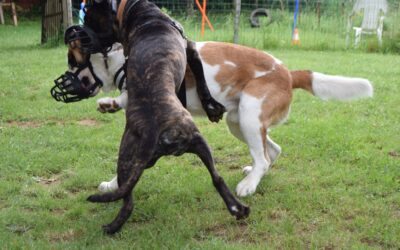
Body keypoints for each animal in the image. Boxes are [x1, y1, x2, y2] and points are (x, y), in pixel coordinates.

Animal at [68, 40, 372, 197]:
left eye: (72, 60)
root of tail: (288, 72)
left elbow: (130, 165)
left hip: (249, 116)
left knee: (264, 156)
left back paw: (249, 185)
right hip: (239, 122)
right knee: (271, 151)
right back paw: (255, 174)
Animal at [83, 0, 248, 234]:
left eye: (89, 20)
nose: (81, 40)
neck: (139, 12)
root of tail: (152, 128)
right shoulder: (191, 50)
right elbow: (202, 83)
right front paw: (211, 107)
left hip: (139, 156)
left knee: (129, 197)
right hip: (181, 144)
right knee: (215, 178)